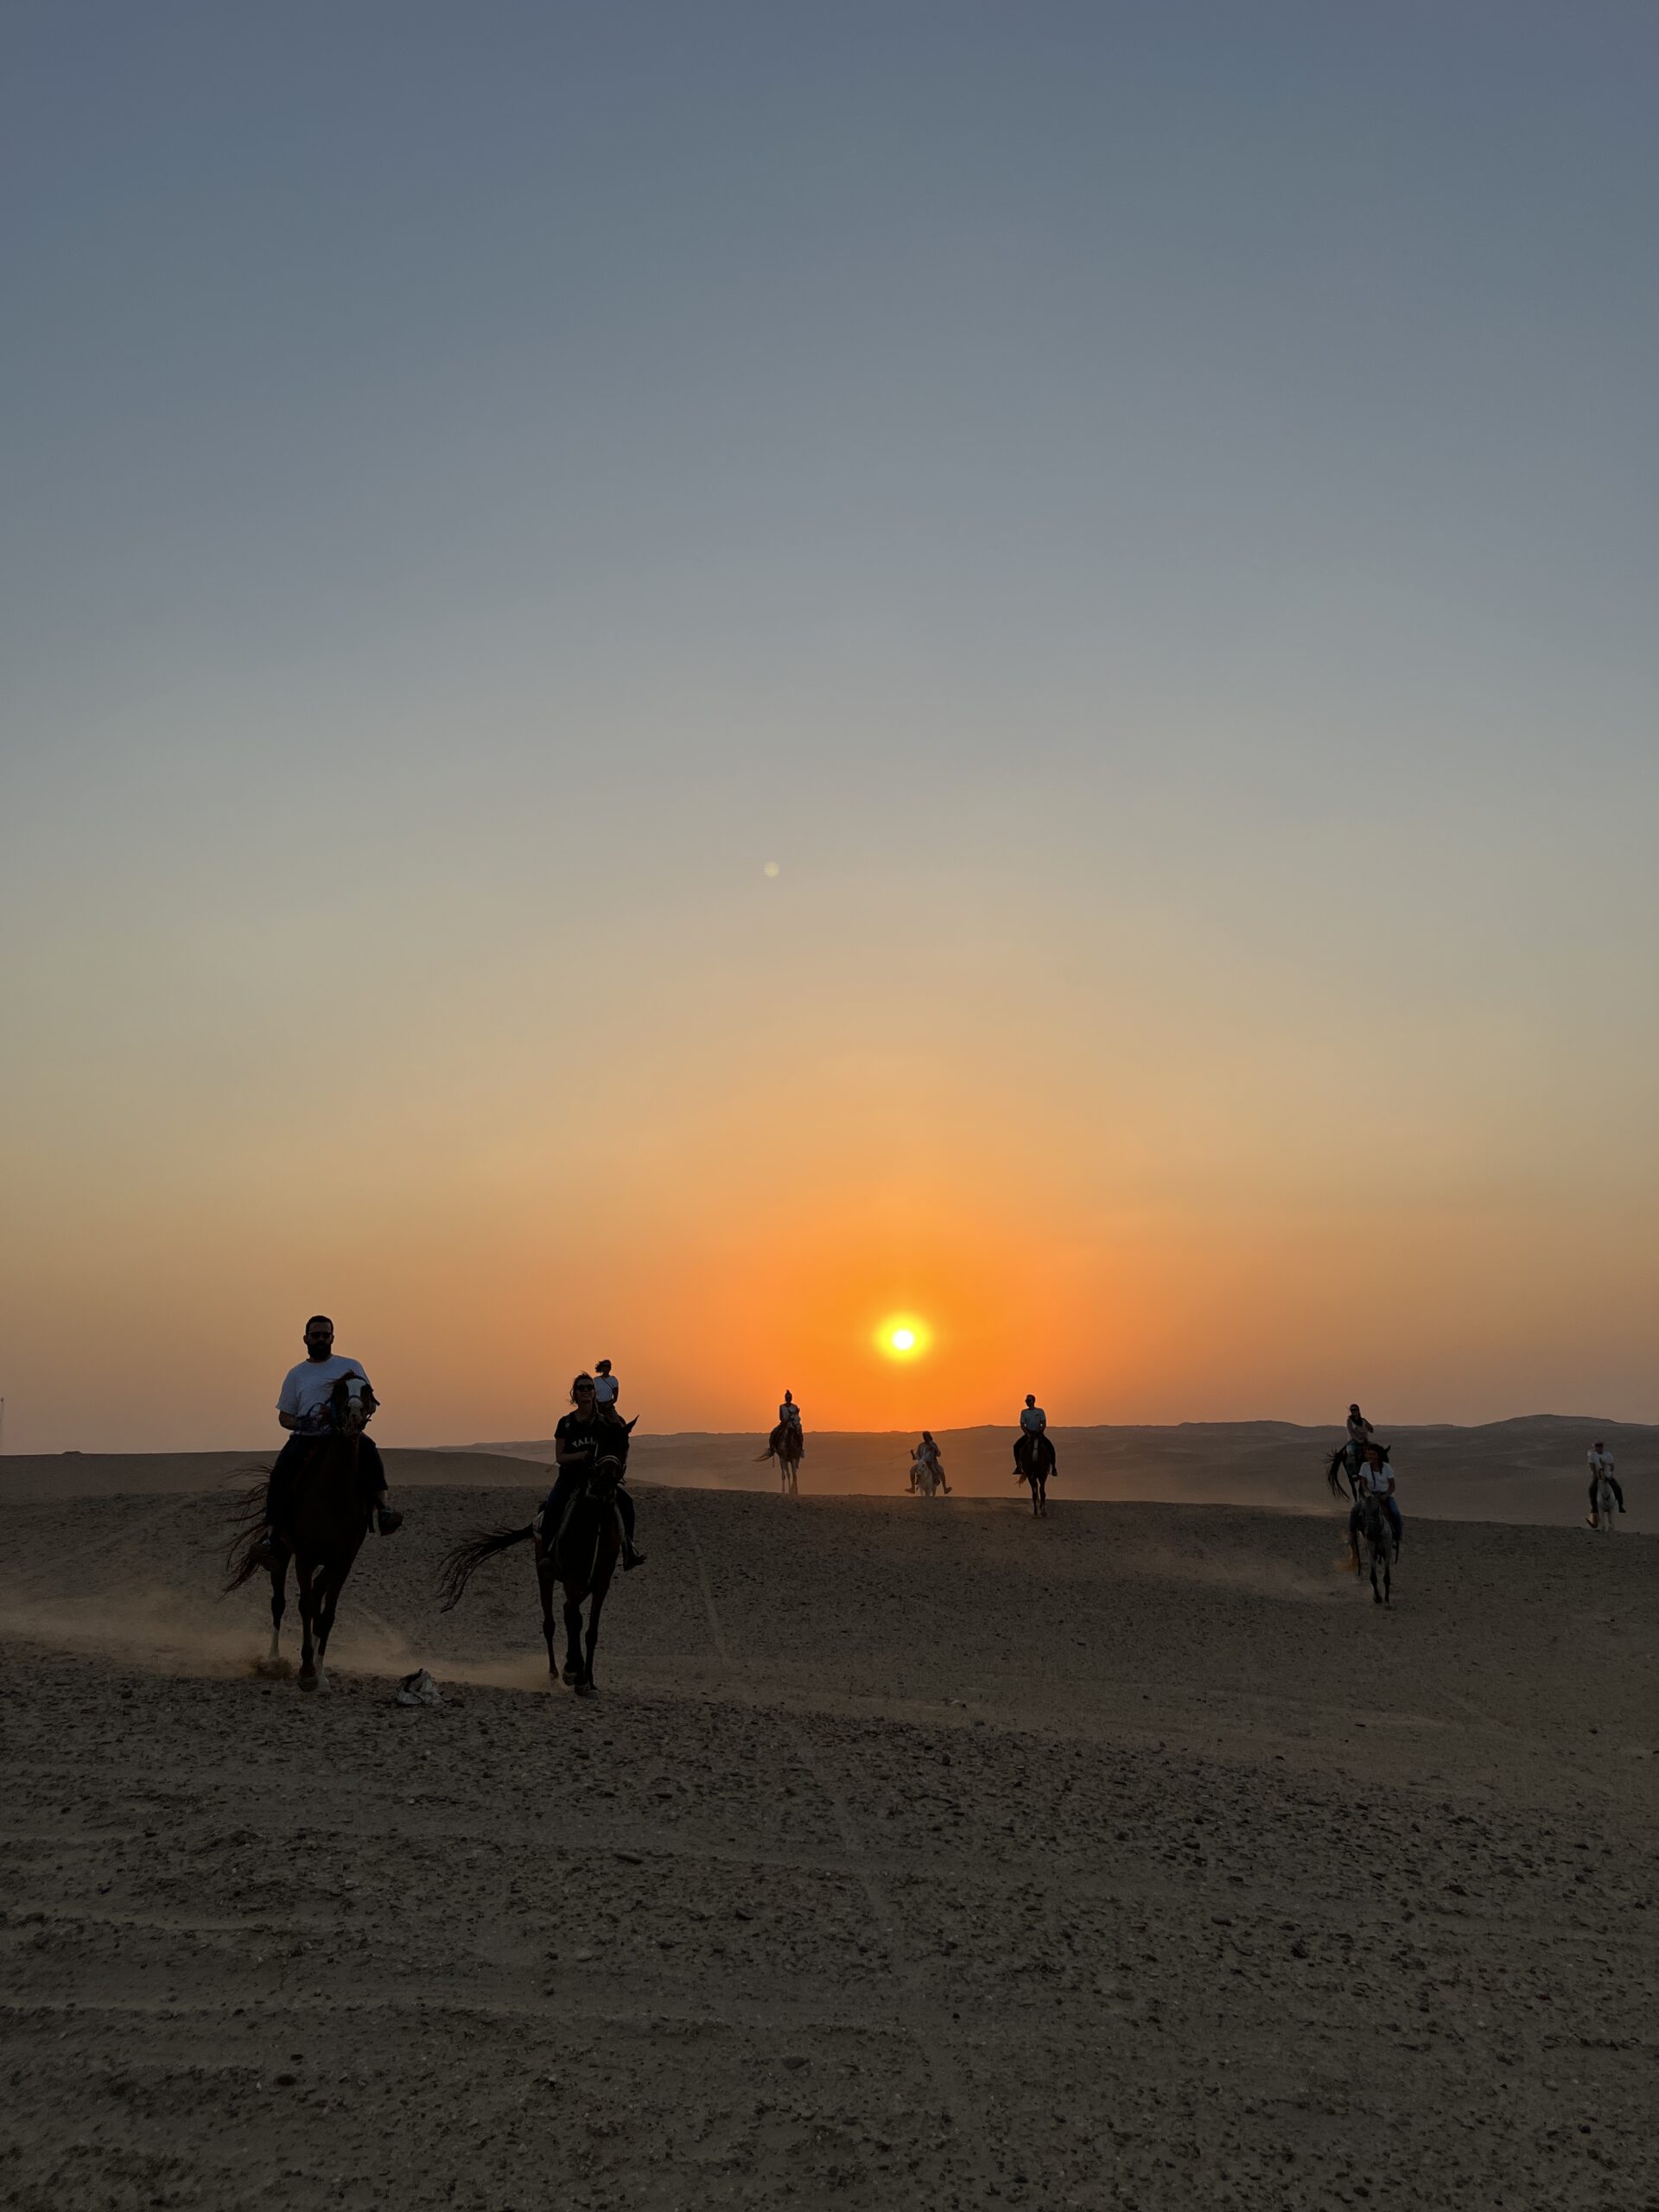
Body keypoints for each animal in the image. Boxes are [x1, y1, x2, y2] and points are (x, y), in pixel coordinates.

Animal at [224, 1380, 380, 1689]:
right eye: (339, 1389)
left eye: (366, 1390)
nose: (354, 1414)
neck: (333, 1494)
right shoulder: (304, 1558)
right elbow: (305, 1606)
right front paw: (307, 1670)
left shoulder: (342, 1562)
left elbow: (327, 1614)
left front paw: (320, 1673)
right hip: (281, 1554)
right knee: (279, 1603)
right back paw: (273, 1660)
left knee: (316, 1600)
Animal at [437, 1451, 628, 1689]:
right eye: (597, 1452)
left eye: (623, 1447)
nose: (604, 1483)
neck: (595, 1525)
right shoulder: (572, 1578)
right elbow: (575, 1620)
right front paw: (574, 1671)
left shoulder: (601, 1581)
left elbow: (591, 1630)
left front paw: (588, 1680)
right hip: (546, 1575)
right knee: (551, 1622)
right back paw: (555, 1671)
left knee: (567, 1611)